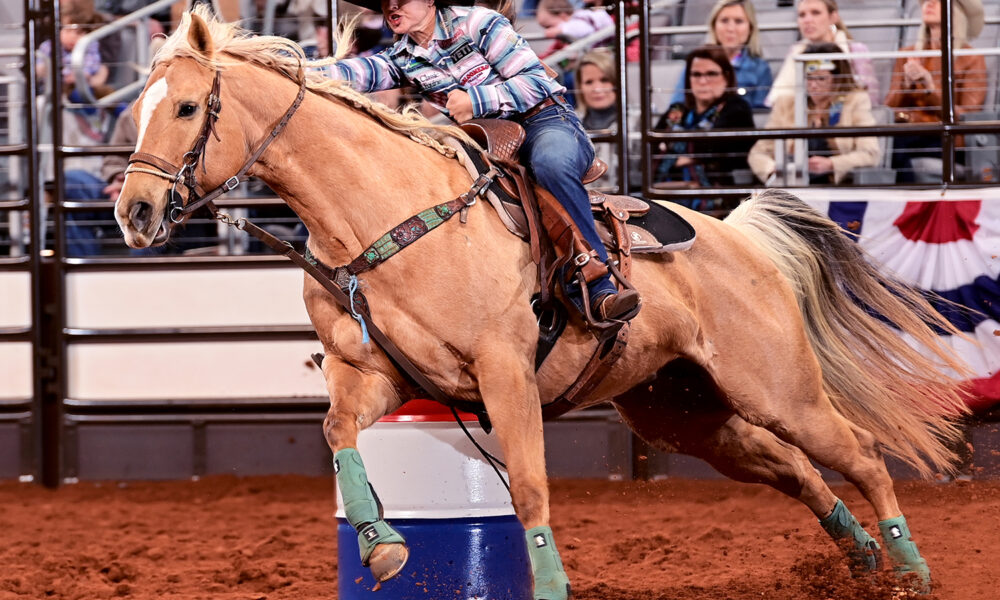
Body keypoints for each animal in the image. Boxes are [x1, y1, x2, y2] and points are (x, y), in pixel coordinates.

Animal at [115, 8, 970, 598]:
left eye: (187, 108)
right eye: (139, 108)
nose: (134, 211)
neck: (385, 211)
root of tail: (738, 236)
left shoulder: (505, 374)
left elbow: (528, 488)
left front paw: (551, 586)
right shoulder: (378, 376)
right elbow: (338, 435)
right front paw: (382, 545)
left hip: (777, 388)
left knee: (859, 453)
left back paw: (912, 569)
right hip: (688, 413)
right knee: (796, 470)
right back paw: (862, 559)